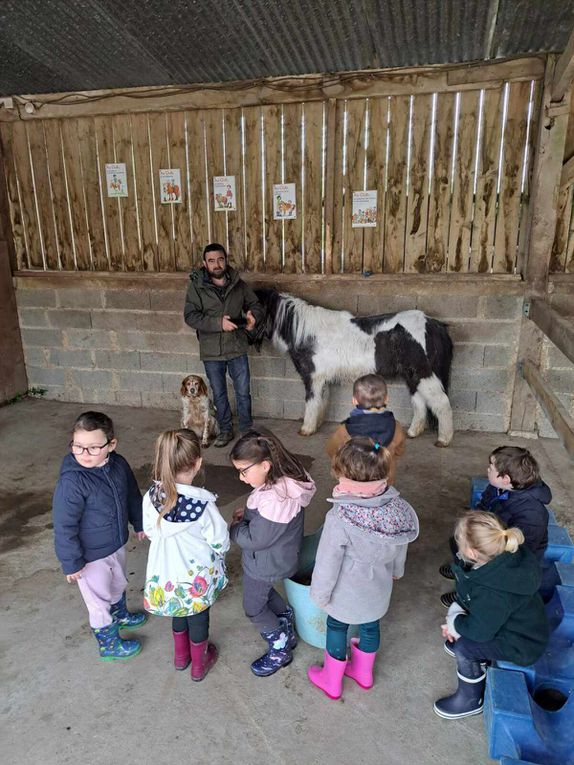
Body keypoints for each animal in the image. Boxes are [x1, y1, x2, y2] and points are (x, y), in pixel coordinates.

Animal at [250, 290, 456, 448]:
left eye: (254, 307)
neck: (305, 333)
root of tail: (435, 324)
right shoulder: (322, 380)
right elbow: (320, 402)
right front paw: (316, 424)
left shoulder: (313, 378)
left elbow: (311, 402)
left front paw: (306, 429)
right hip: (412, 375)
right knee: (420, 402)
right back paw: (413, 432)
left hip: (423, 373)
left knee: (442, 403)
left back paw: (444, 440)